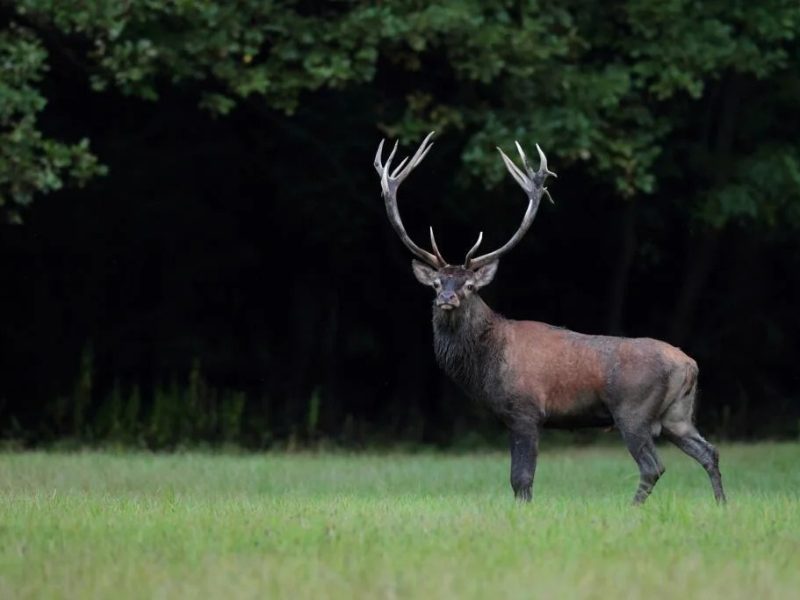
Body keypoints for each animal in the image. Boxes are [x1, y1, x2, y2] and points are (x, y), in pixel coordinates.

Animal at [374, 134, 724, 504]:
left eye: (469, 285)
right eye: (437, 283)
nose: (447, 299)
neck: (486, 366)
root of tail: (690, 365)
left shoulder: (525, 410)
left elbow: (521, 478)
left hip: (634, 412)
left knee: (653, 466)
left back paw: (633, 508)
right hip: (677, 415)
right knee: (709, 452)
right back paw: (722, 505)